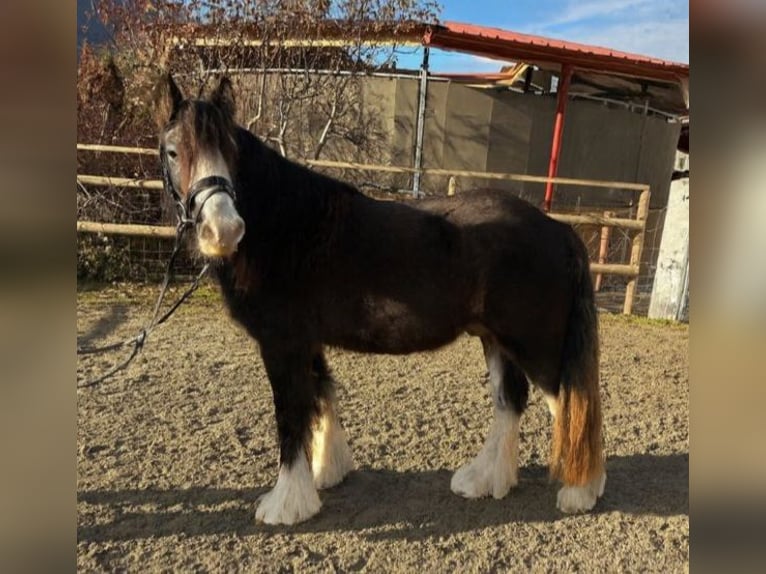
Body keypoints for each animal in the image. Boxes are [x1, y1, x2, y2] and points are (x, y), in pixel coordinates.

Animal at [153, 73, 605, 525]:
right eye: (173, 151)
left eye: (229, 152)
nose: (223, 230)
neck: (289, 229)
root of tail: (559, 229)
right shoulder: (307, 341)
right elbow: (322, 395)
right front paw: (327, 472)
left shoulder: (282, 344)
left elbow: (291, 415)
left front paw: (285, 504)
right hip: (496, 339)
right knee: (510, 400)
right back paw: (485, 479)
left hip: (537, 346)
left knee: (570, 404)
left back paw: (582, 491)